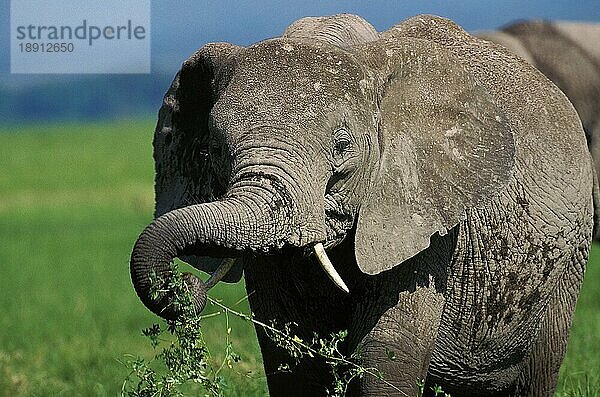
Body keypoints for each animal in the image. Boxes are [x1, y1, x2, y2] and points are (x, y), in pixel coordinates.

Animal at [129, 13, 592, 394]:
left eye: (342, 147)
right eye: (214, 150)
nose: (186, 288)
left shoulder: (423, 214)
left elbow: (385, 350)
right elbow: (291, 353)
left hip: (570, 258)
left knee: (539, 369)